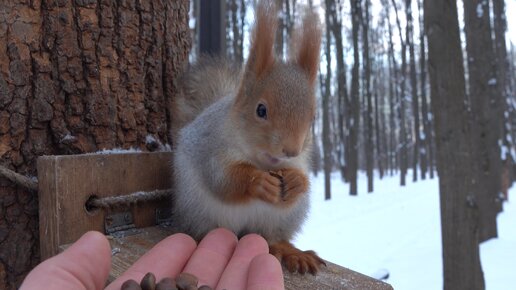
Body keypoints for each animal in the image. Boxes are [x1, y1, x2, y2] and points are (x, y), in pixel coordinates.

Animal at [171, 0, 324, 276]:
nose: (290, 150)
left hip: (285, 218)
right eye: (260, 110)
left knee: (273, 237)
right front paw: (260, 182)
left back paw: (291, 251)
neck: (261, 161)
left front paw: (296, 181)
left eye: (312, 118)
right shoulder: (211, 147)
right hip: (197, 209)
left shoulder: (301, 161)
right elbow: (223, 179)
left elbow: (302, 178)